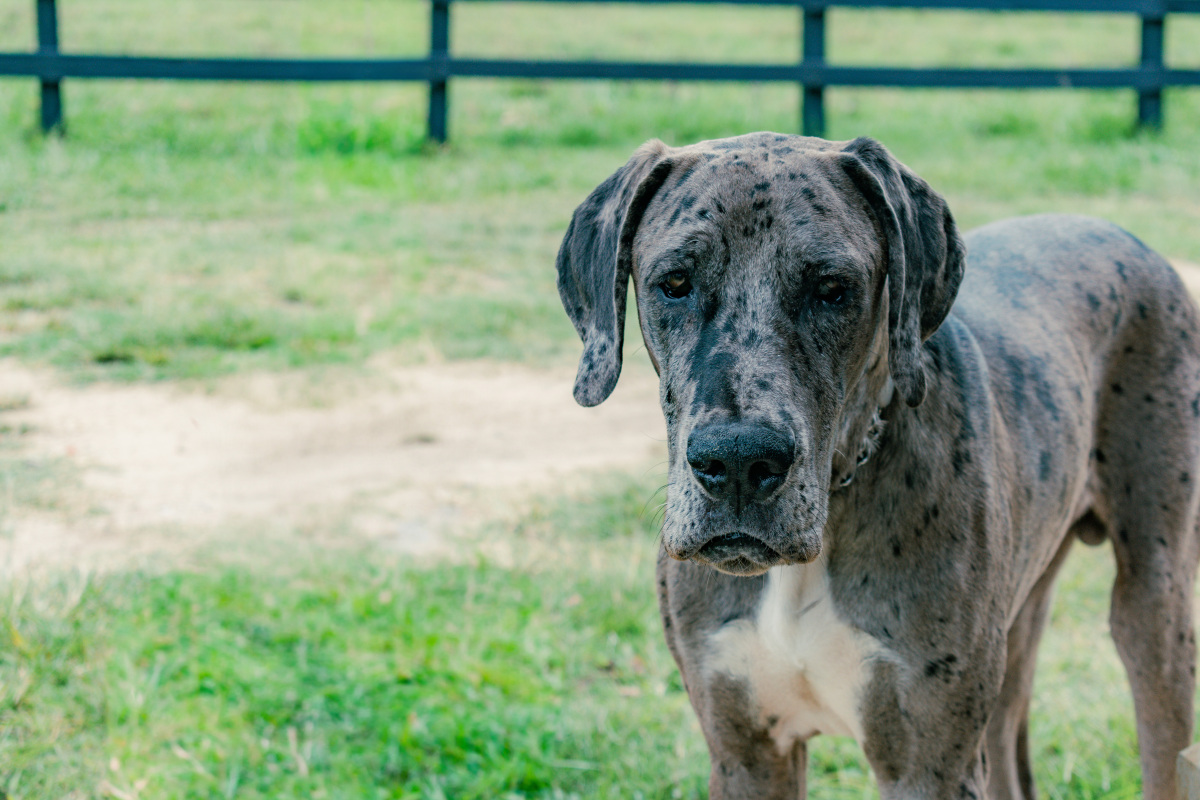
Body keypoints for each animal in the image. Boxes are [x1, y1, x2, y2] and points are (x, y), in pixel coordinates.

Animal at [556, 134, 1200, 796]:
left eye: (832, 288)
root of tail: (1128, 238)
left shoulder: (929, 765)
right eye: (675, 282)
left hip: (1156, 610)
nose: (737, 460)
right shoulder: (746, 755)